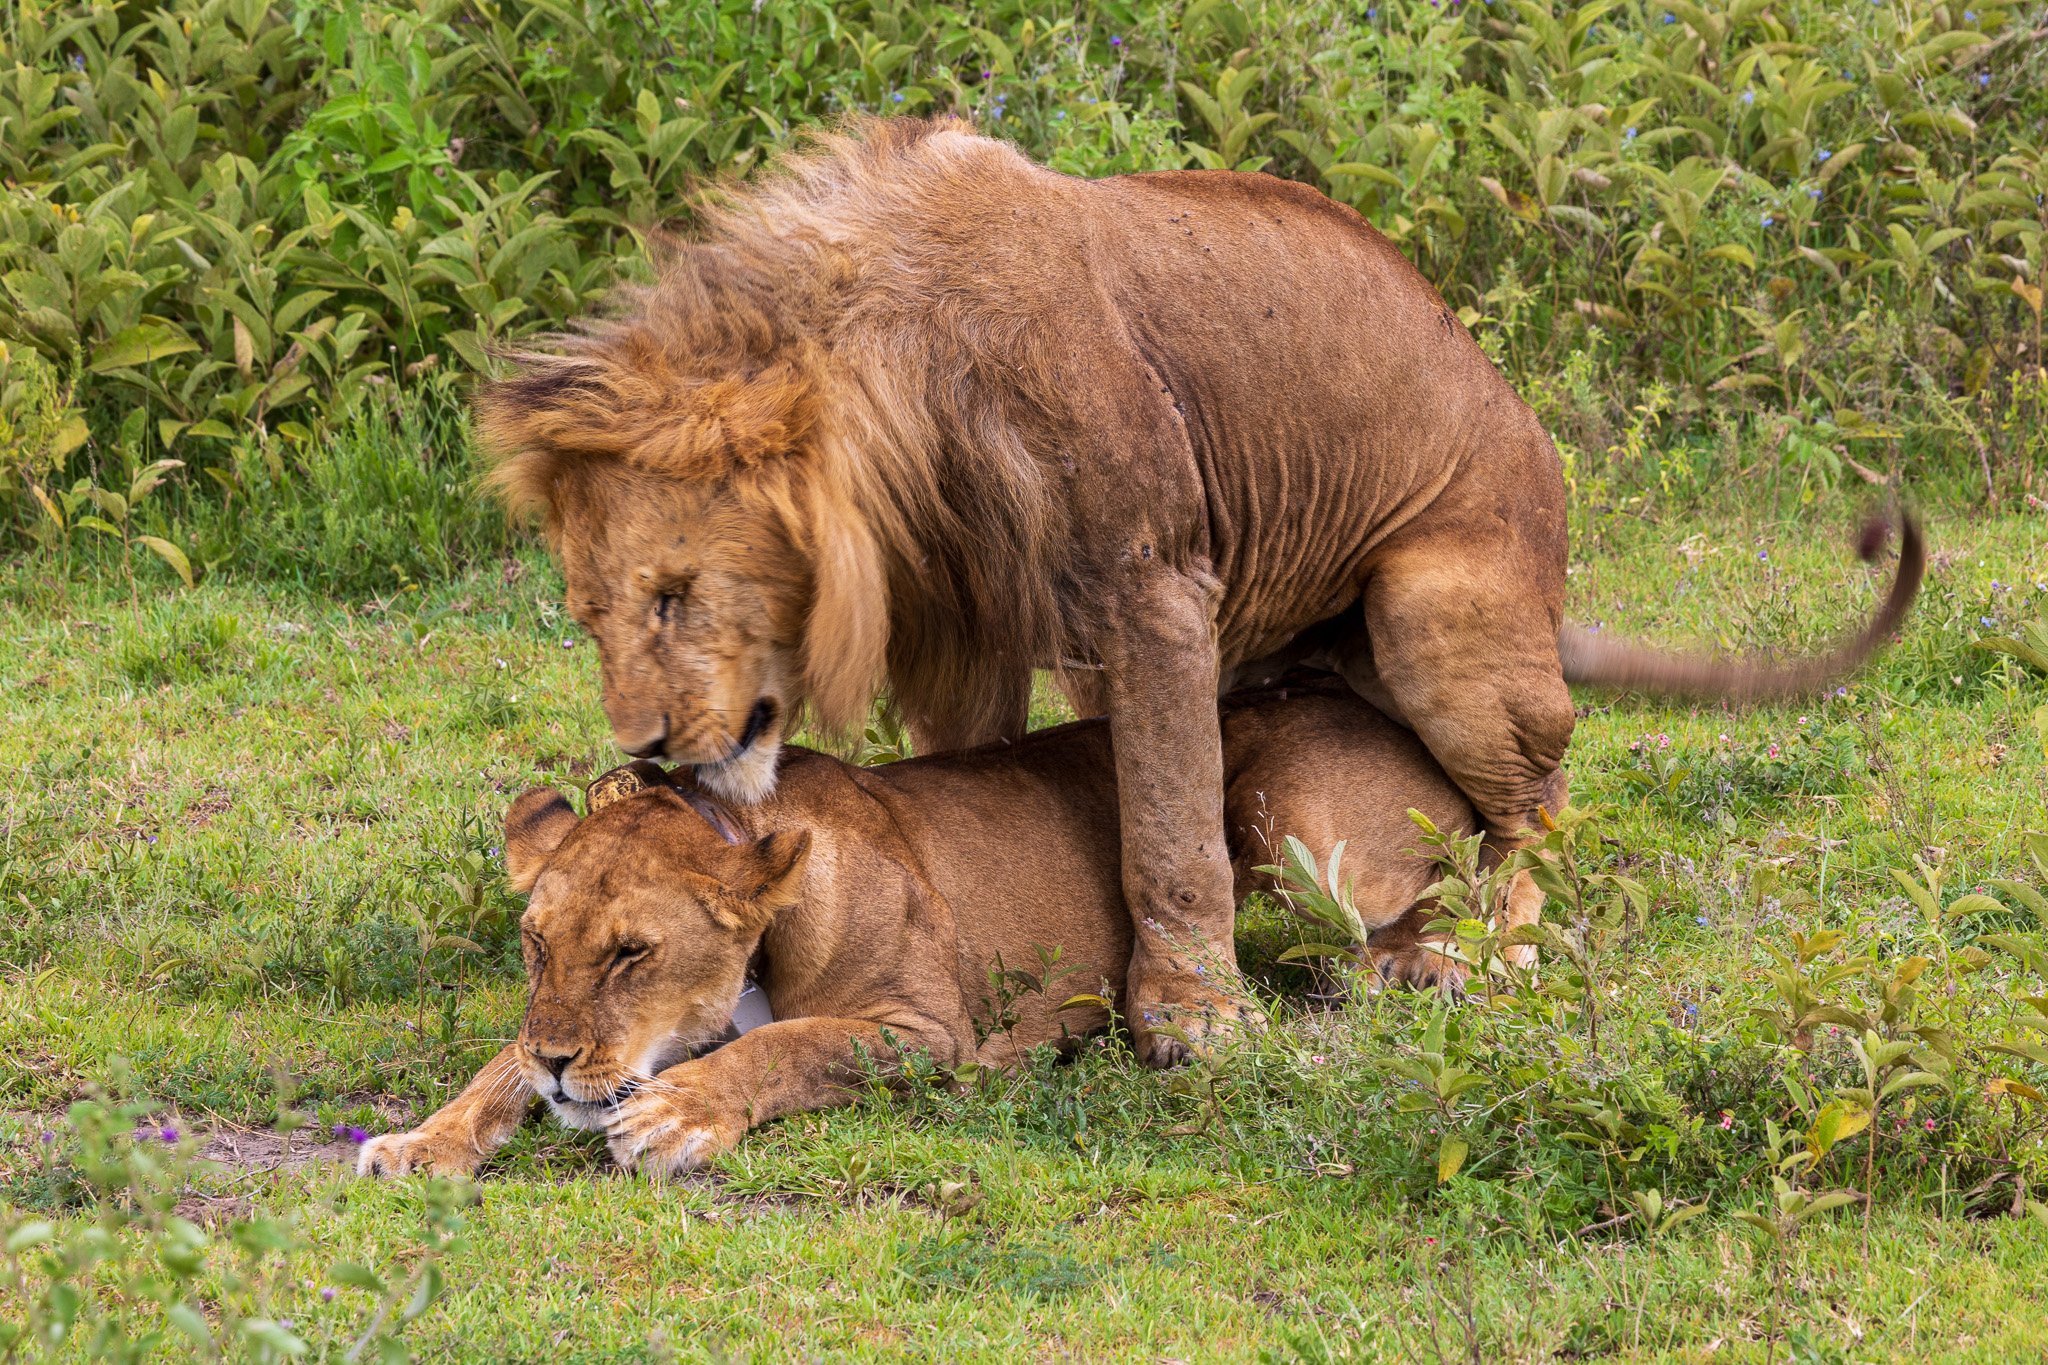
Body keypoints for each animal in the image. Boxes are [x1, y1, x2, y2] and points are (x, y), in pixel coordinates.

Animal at [360, 687, 1490, 1178]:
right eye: (535, 945)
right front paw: (424, 1140)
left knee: (1485, 870)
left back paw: (1422, 969)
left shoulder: (924, 1031)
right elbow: (496, 1065)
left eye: (632, 953)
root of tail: (1377, 709)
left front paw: (674, 1114)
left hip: (1284, 819)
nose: (561, 1063)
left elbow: (789, 1044)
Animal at [479, 117, 1916, 1064]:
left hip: (1436, 605)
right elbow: (986, 781)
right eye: (592, 613)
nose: (644, 750)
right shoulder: (975, 622)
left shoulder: (1152, 581)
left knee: (1543, 807)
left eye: (672, 595)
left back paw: (1488, 947)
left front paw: (1193, 1019)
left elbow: (1169, 829)